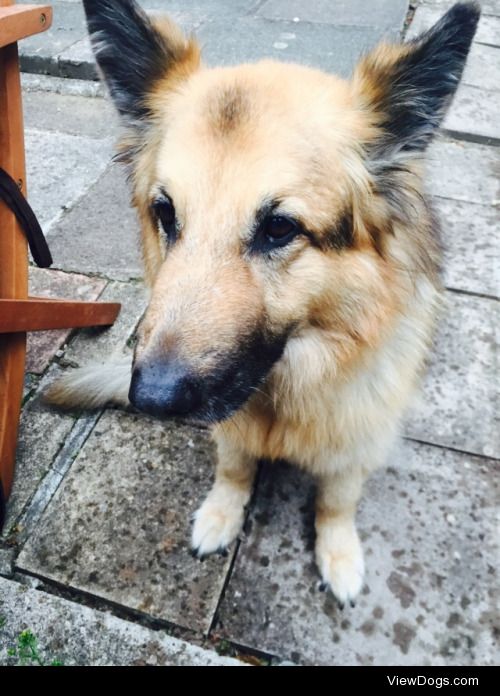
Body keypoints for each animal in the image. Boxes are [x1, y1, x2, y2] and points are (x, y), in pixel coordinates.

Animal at [47, 2, 480, 608]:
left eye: (279, 228)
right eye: (165, 213)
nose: (151, 399)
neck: (285, 387)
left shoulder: (356, 442)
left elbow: (337, 501)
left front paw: (339, 555)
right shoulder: (229, 426)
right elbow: (234, 468)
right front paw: (221, 515)